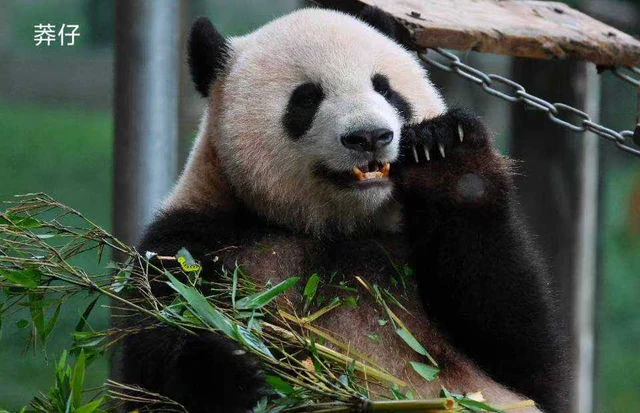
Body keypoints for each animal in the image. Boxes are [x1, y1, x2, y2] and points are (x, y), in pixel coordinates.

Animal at [121, 6, 568, 413]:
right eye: (306, 98)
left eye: (385, 89)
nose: (369, 136)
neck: (338, 226)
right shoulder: (191, 241)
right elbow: (153, 358)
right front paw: (236, 370)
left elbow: (525, 355)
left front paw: (444, 148)